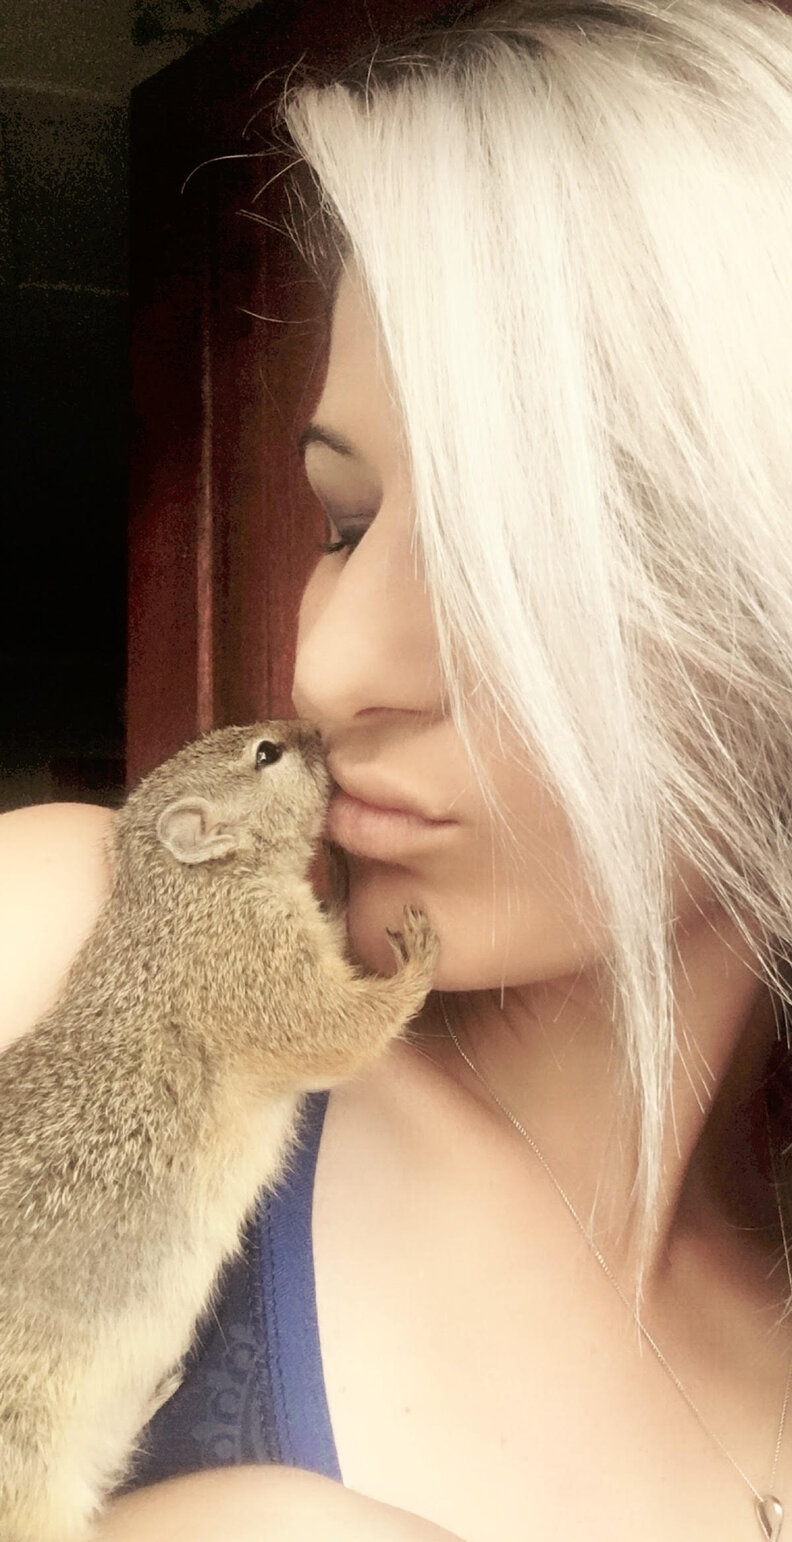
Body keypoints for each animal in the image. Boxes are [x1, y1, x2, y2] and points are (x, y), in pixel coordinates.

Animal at [0, 720, 439, 1542]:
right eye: (268, 754)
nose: (319, 730)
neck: (180, 891)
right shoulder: (257, 969)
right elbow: (343, 1030)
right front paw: (417, 962)